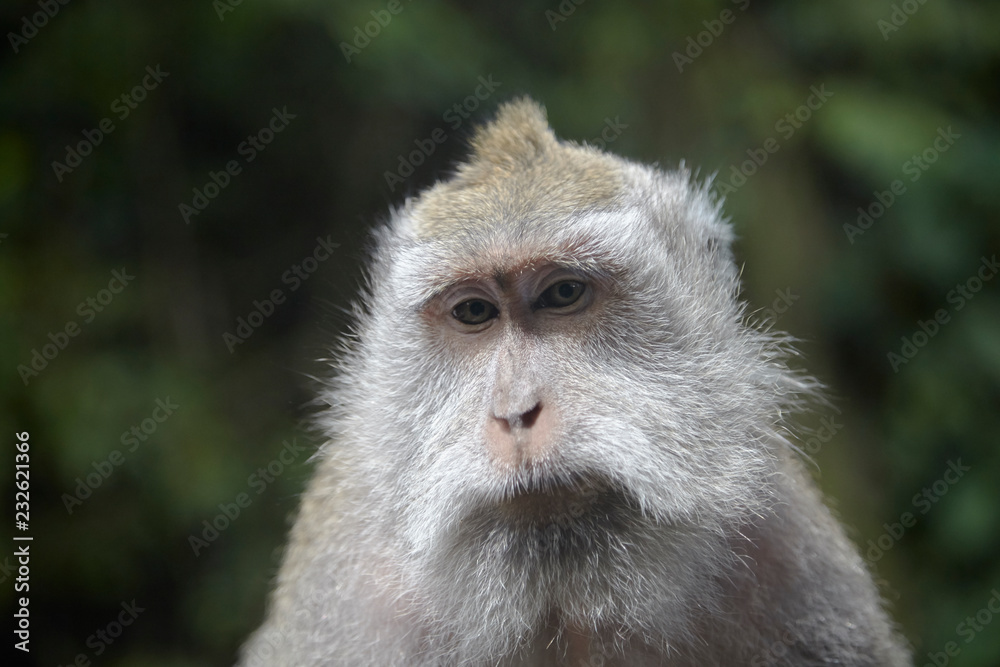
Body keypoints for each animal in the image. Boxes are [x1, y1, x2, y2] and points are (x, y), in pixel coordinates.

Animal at [239, 97, 912, 666]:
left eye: (563, 294)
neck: (563, 596)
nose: (516, 412)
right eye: (474, 312)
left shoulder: (781, 552)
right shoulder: (349, 599)